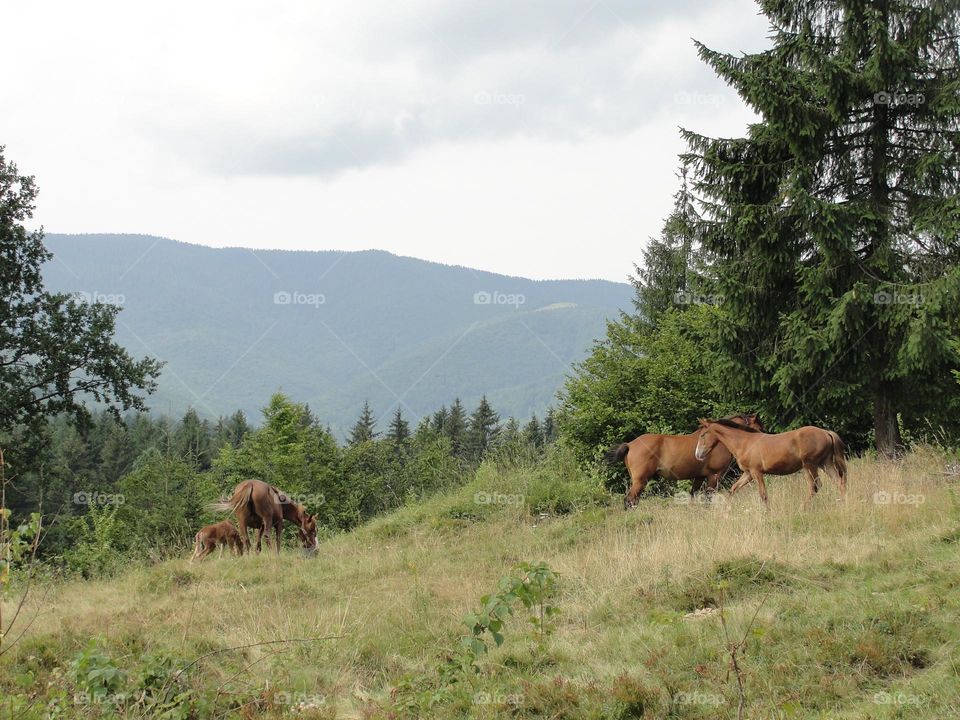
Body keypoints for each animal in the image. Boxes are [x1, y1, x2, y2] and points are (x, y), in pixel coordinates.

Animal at [608, 414, 764, 510]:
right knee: (629, 501)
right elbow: (708, 498)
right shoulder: (714, 476)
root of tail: (630, 444)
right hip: (640, 481)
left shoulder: (699, 477)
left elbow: (693, 496)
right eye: (759, 427)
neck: (717, 440)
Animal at [688, 416, 848, 506]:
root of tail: (826, 432)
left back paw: (802, 507)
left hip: (809, 465)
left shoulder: (756, 472)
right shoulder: (748, 474)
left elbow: (763, 495)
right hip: (825, 463)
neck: (744, 442)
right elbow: (733, 489)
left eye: (703, 435)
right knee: (839, 482)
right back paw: (842, 505)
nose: (697, 454)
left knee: (815, 486)